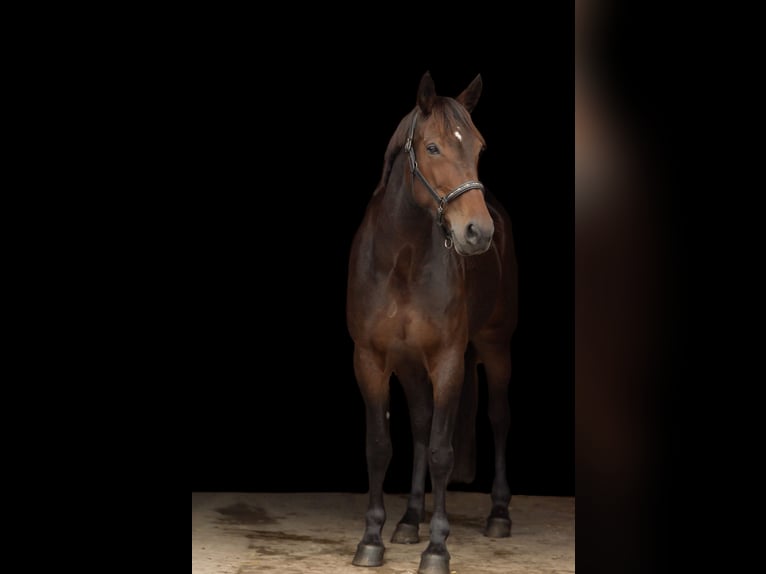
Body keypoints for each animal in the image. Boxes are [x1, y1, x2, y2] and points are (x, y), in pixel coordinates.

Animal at [346, 71, 518, 574]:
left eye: (479, 146)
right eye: (433, 147)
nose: (478, 233)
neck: (402, 259)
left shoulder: (448, 362)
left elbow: (444, 451)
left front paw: (437, 547)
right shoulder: (372, 360)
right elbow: (381, 445)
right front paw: (372, 538)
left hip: (496, 347)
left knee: (498, 417)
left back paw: (498, 514)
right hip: (409, 365)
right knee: (421, 426)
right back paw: (408, 520)